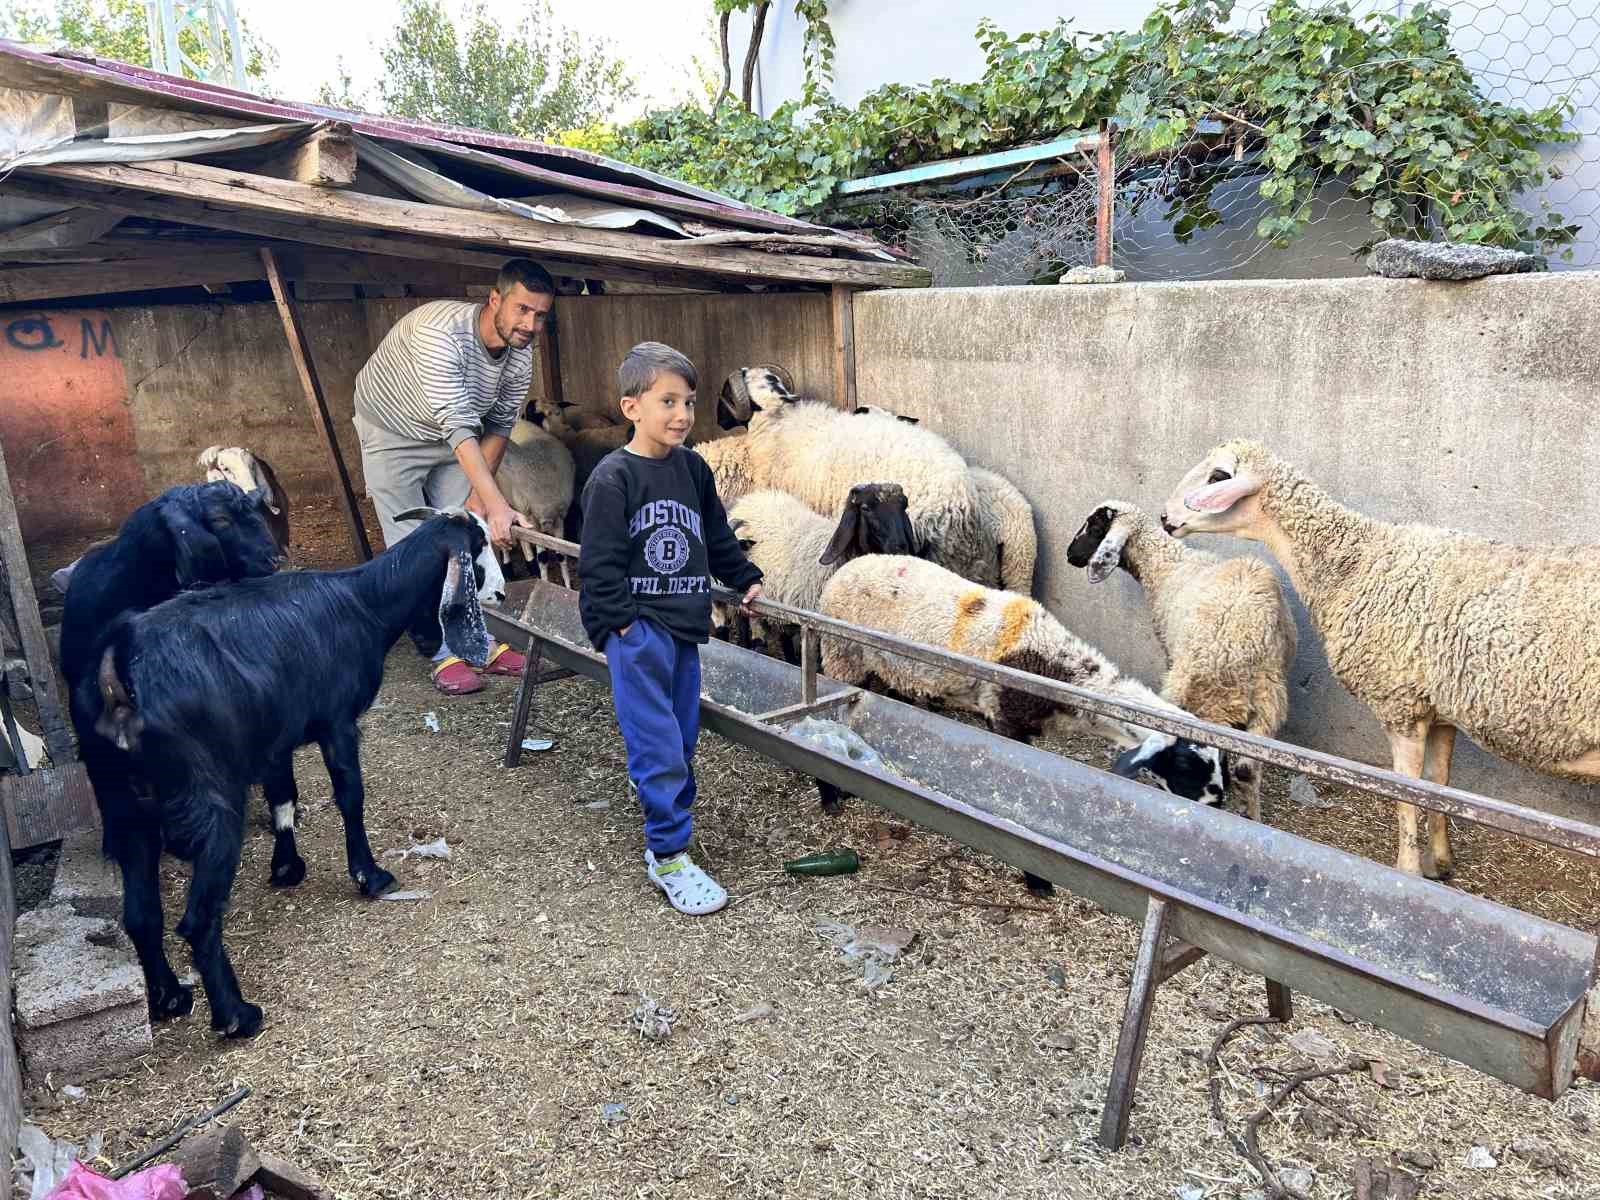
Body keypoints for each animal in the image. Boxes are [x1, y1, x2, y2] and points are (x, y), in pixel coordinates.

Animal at [78, 508, 502, 1043]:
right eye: (481, 547)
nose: (501, 593)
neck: (364, 601)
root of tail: (118, 670)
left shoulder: (275, 737)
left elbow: (284, 796)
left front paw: (286, 868)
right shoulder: (336, 721)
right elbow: (350, 794)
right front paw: (369, 875)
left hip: (124, 806)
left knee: (140, 915)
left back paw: (171, 998)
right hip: (209, 799)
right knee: (196, 920)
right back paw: (237, 1015)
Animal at [1062, 499, 1299, 825]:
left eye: (1095, 526)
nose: (1070, 555)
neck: (1167, 565)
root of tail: (1239, 648)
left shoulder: (1168, 651)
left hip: (1190, 688)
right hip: (1267, 704)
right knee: (1246, 770)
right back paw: (1250, 815)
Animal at [1158, 441, 1600, 883]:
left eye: (1218, 476)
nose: (1164, 517)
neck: (1356, 562)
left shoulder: (1399, 704)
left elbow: (1408, 794)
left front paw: (1408, 871)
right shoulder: (1438, 710)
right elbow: (1439, 786)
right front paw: (1439, 863)